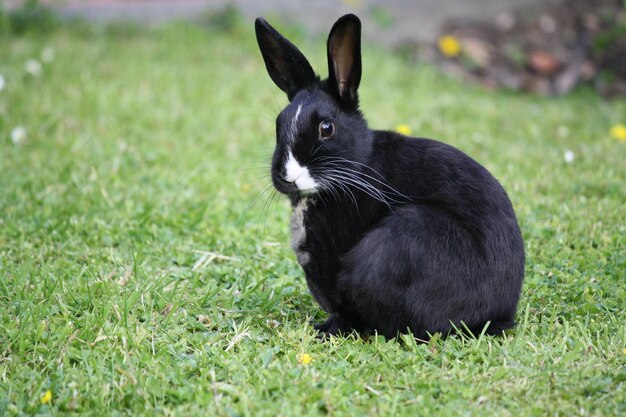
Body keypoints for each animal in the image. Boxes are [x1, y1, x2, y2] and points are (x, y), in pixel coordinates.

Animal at [254, 14, 520, 340]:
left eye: (326, 128)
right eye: (279, 124)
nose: (288, 176)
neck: (354, 171)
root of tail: (498, 315)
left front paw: (328, 329)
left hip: (404, 238)